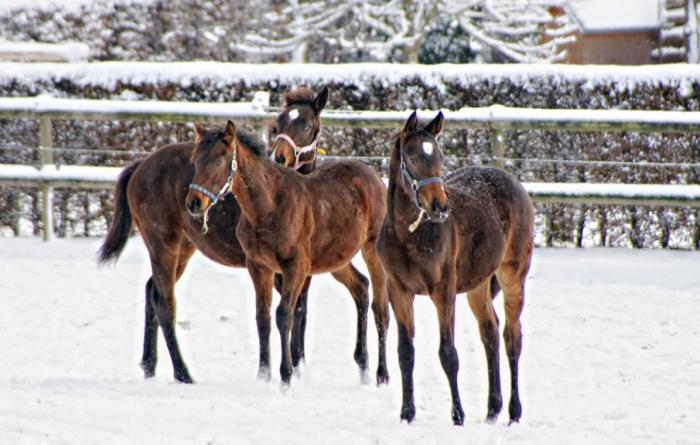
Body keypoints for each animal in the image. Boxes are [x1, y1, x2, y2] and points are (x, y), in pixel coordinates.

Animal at [96, 86, 356, 382]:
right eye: (277, 124)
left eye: (308, 125)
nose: (281, 157)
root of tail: (140, 166)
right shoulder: (275, 268)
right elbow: (286, 313)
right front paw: (289, 366)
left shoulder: (301, 268)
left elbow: (300, 310)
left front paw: (297, 364)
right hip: (163, 245)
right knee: (164, 303)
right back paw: (182, 373)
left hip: (184, 248)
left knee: (152, 290)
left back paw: (149, 366)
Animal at [186, 119, 392, 386]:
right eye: (195, 160)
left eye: (220, 160)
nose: (194, 203)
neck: (268, 206)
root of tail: (374, 177)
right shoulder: (258, 266)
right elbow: (262, 317)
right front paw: (263, 376)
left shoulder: (295, 267)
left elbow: (285, 315)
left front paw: (286, 376)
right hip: (336, 258)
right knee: (361, 288)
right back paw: (363, 366)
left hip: (371, 251)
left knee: (381, 308)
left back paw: (382, 375)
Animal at [380, 110, 532, 424]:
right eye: (411, 157)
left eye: (439, 156)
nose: (439, 206)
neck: (409, 234)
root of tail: (513, 182)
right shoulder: (398, 291)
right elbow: (405, 352)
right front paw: (407, 413)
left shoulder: (443, 292)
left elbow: (448, 354)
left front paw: (458, 415)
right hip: (478, 285)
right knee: (490, 332)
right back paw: (492, 409)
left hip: (513, 277)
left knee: (511, 337)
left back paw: (513, 412)